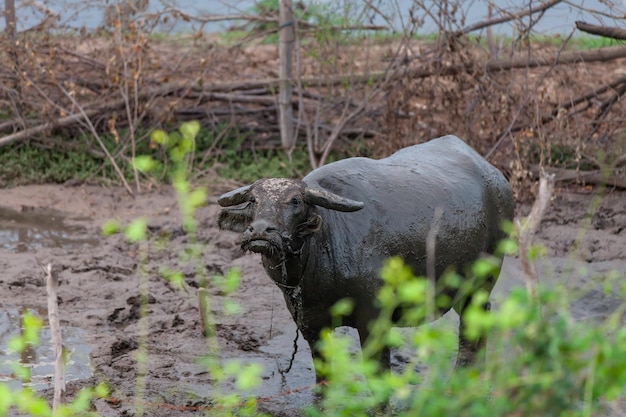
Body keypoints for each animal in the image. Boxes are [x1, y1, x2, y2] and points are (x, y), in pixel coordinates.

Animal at [218, 135, 512, 378]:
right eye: (254, 200)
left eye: (295, 201)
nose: (260, 231)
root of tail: (498, 181)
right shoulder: (309, 322)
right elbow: (323, 373)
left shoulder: (375, 318)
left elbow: (377, 374)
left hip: (482, 281)